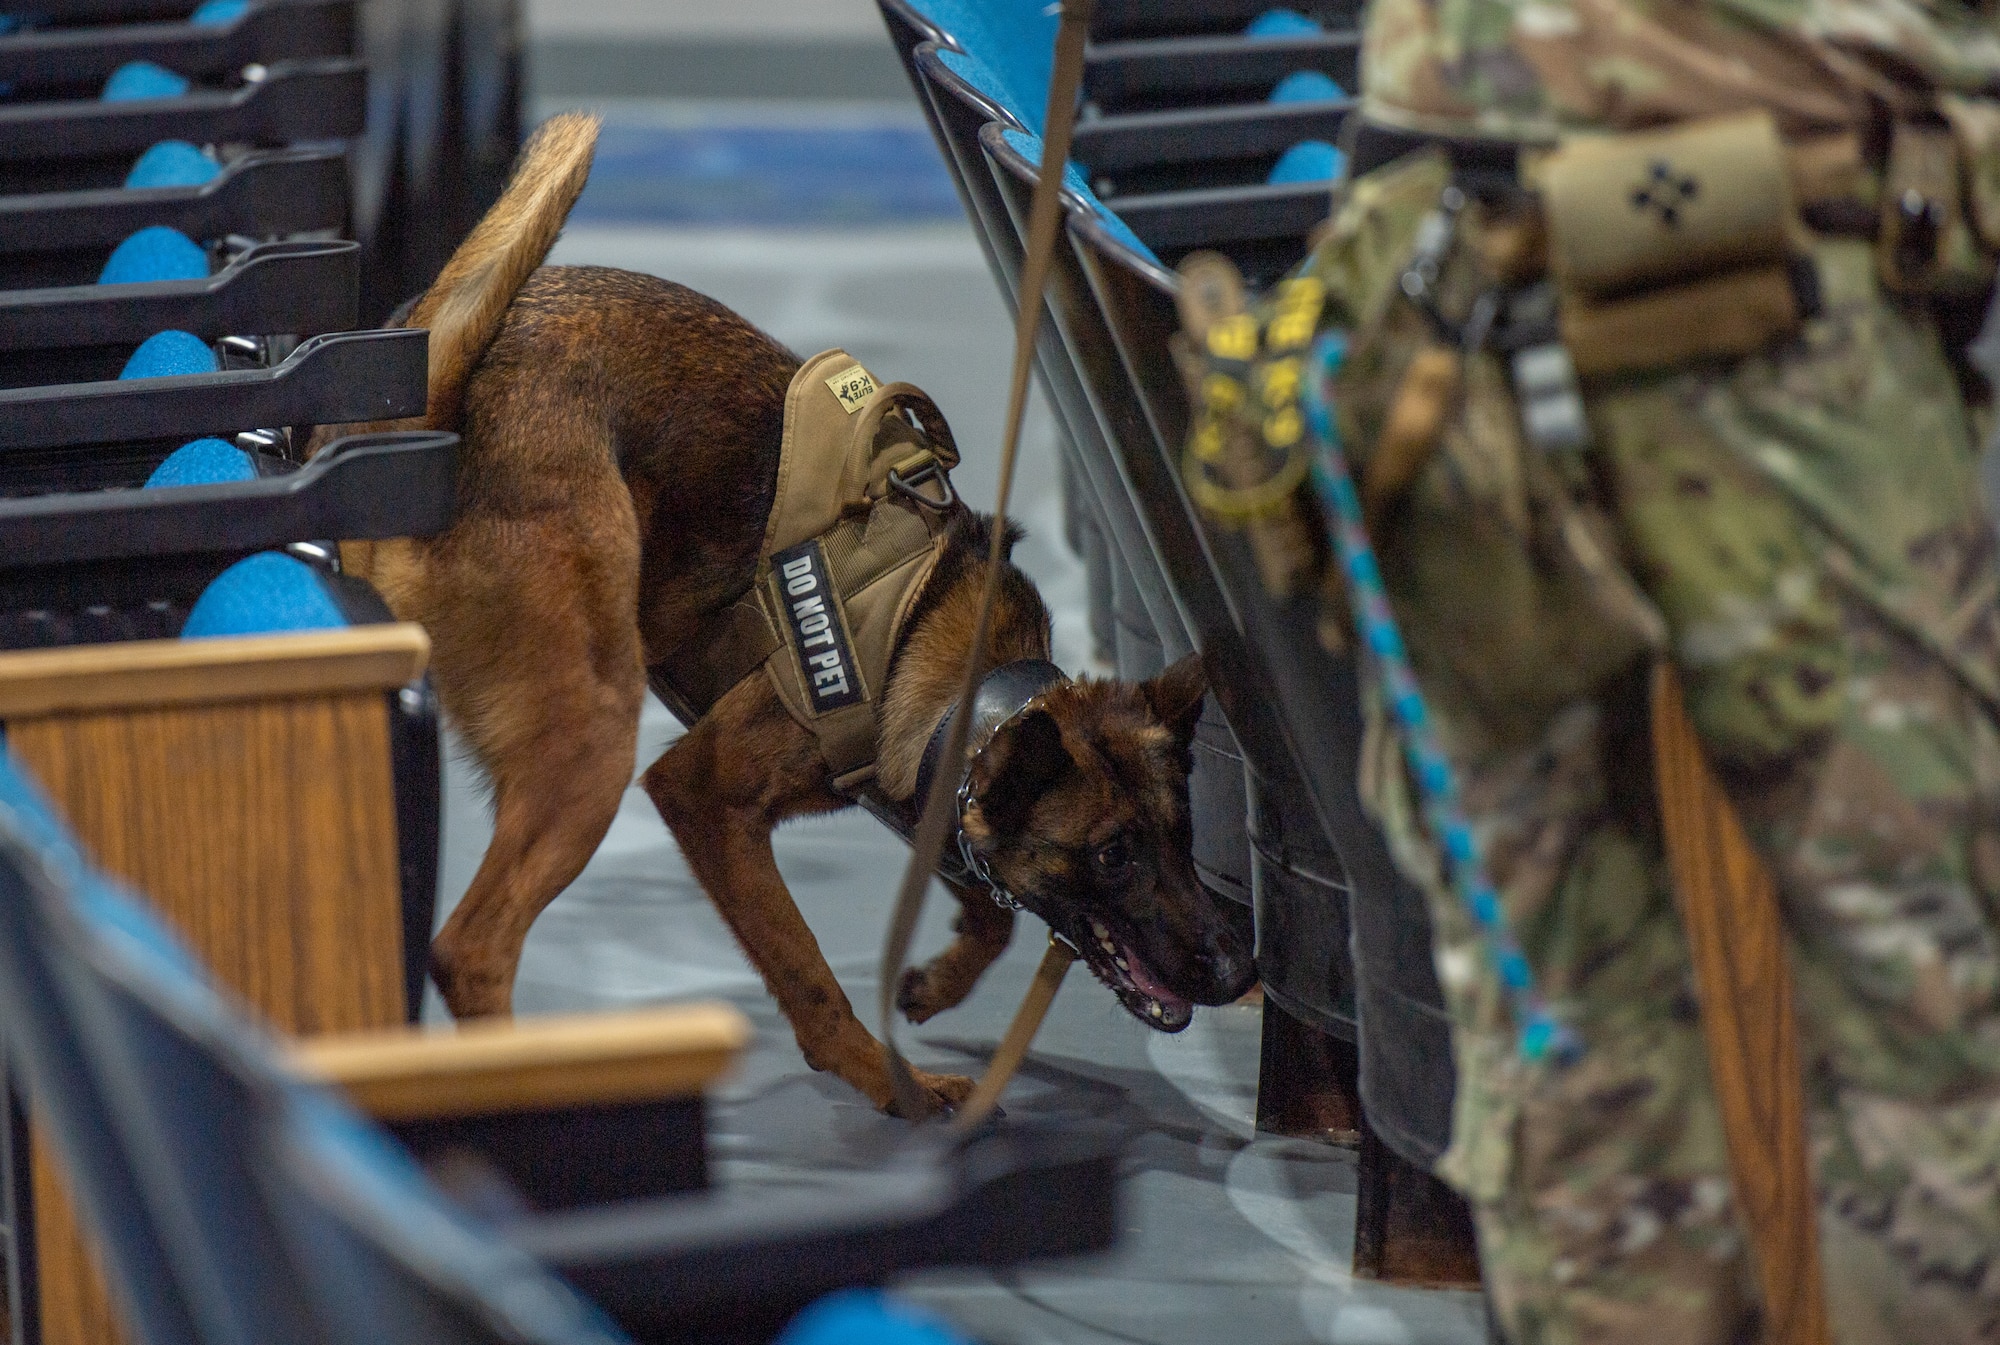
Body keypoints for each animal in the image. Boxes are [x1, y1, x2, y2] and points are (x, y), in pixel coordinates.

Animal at [336, 113, 1256, 1112]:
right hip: (592, 745)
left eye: (1182, 835)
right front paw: (890, 1078)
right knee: (471, 948)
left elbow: (988, 906)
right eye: (1114, 854)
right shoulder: (703, 793)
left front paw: (934, 984)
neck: (951, 647)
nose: (1236, 968)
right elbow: (808, 969)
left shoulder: (923, 793)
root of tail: (434, 408)